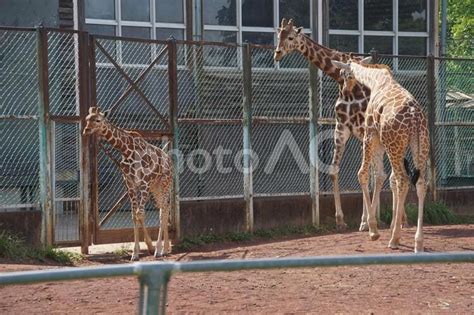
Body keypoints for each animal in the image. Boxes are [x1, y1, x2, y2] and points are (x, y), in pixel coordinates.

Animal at [83, 107, 172, 260]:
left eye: (98, 120)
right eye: (87, 119)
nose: (86, 130)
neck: (126, 150)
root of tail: (170, 161)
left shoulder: (144, 183)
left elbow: (140, 213)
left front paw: (150, 247)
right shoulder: (130, 183)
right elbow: (134, 215)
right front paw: (137, 252)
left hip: (165, 184)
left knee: (164, 210)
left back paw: (159, 250)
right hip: (156, 188)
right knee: (163, 209)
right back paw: (165, 249)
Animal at [274, 19, 404, 232]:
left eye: (291, 37)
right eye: (279, 36)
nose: (277, 53)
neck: (347, 89)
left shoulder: (363, 131)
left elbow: (368, 173)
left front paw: (365, 221)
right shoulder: (341, 129)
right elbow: (335, 171)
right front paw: (341, 220)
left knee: (391, 174)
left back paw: (396, 220)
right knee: (386, 173)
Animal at [332, 58, 432, 253]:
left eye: (343, 73)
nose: (344, 91)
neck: (376, 79)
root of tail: (415, 118)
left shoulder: (370, 133)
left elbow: (363, 174)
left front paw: (372, 229)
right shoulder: (377, 139)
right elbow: (379, 175)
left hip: (394, 145)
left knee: (402, 180)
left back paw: (394, 239)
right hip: (420, 146)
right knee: (421, 183)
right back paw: (418, 242)